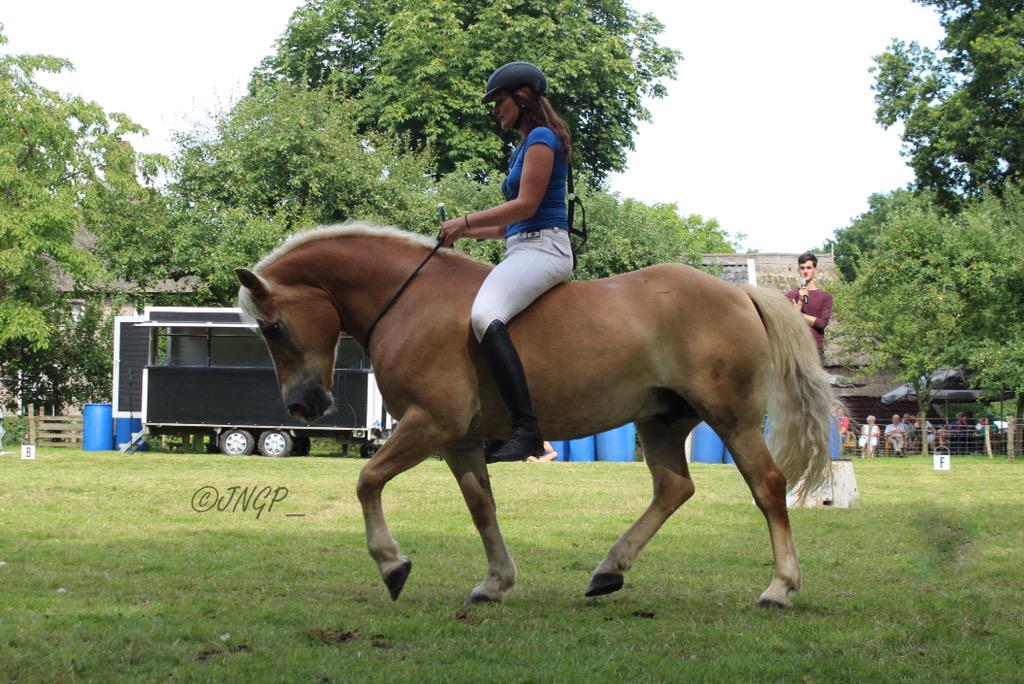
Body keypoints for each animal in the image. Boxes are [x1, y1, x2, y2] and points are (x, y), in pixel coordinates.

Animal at [235, 221, 836, 608]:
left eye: (274, 327)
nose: (302, 405)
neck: (409, 300)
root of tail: (740, 296)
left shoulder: (429, 424)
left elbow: (367, 479)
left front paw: (392, 564)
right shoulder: (458, 440)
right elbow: (481, 507)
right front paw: (495, 583)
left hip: (731, 419)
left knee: (767, 486)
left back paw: (780, 588)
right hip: (662, 420)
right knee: (673, 489)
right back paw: (608, 571)